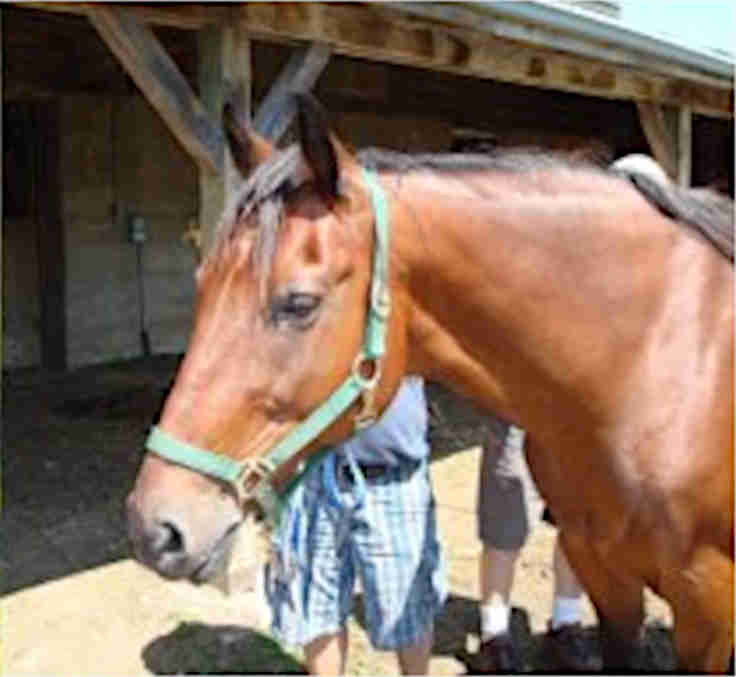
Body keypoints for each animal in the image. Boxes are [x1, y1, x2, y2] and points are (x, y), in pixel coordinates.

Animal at [126, 94, 734, 672]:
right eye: (202, 284)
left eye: (299, 304)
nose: (153, 528)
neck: (656, 362)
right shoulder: (604, 573)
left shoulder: (708, 605)